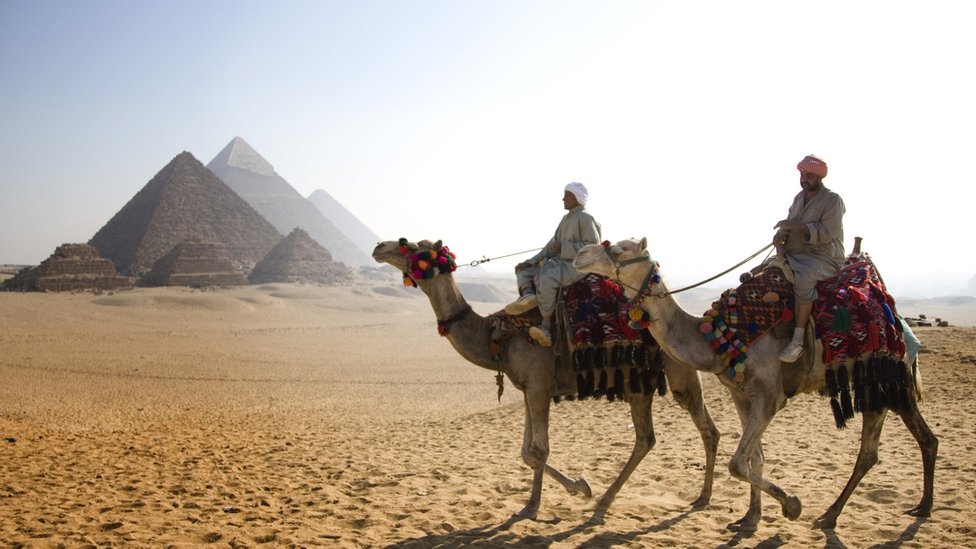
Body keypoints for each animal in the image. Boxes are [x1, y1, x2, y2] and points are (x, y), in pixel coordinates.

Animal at [374, 239, 724, 520]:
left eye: (412, 247)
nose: (380, 247)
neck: (496, 336)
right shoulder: (528, 387)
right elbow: (526, 451)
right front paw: (581, 487)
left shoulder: (539, 385)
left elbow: (539, 449)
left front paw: (531, 507)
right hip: (644, 380)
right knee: (668, 435)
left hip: (672, 373)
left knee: (684, 432)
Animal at [572, 238, 936, 528]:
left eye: (621, 249)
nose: (580, 255)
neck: (720, 336)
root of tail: (898, 322)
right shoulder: (741, 393)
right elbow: (754, 458)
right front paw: (750, 518)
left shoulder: (771, 395)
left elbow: (738, 461)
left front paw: (792, 505)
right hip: (891, 386)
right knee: (923, 438)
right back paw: (921, 507)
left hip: (877, 380)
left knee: (869, 452)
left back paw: (830, 516)